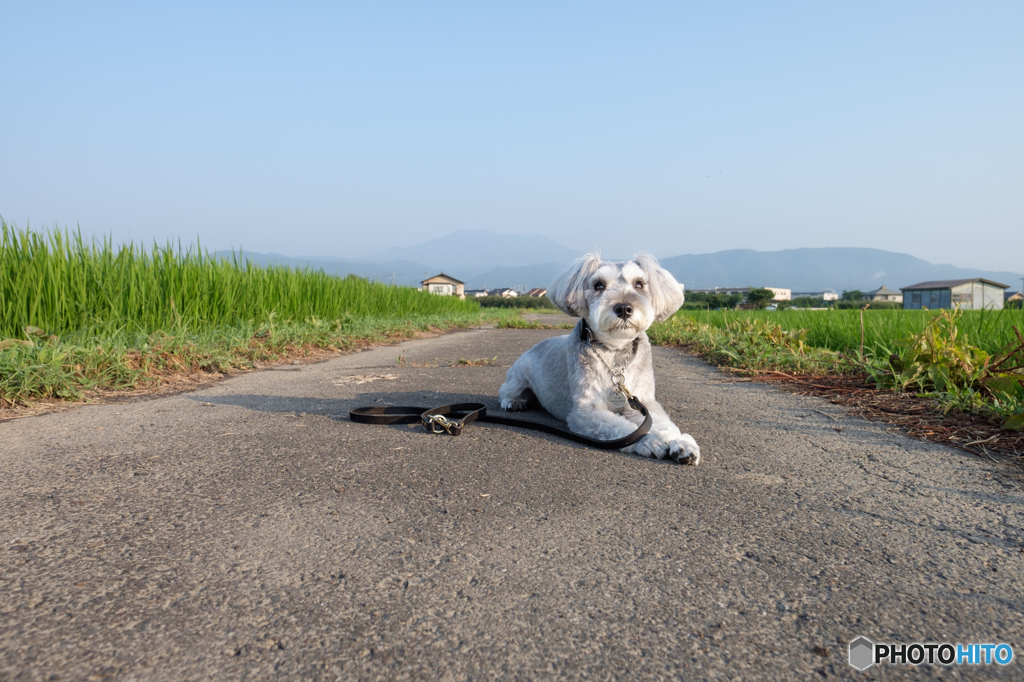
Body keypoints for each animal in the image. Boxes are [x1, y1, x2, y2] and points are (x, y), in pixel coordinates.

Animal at [497, 251, 704, 464]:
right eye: (598, 285)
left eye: (639, 284)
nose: (624, 308)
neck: (614, 350)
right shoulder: (586, 411)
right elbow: (623, 429)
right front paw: (648, 440)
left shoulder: (644, 402)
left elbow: (663, 424)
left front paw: (681, 443)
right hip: (518, 377)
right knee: (505, 390)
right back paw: (513, 402)